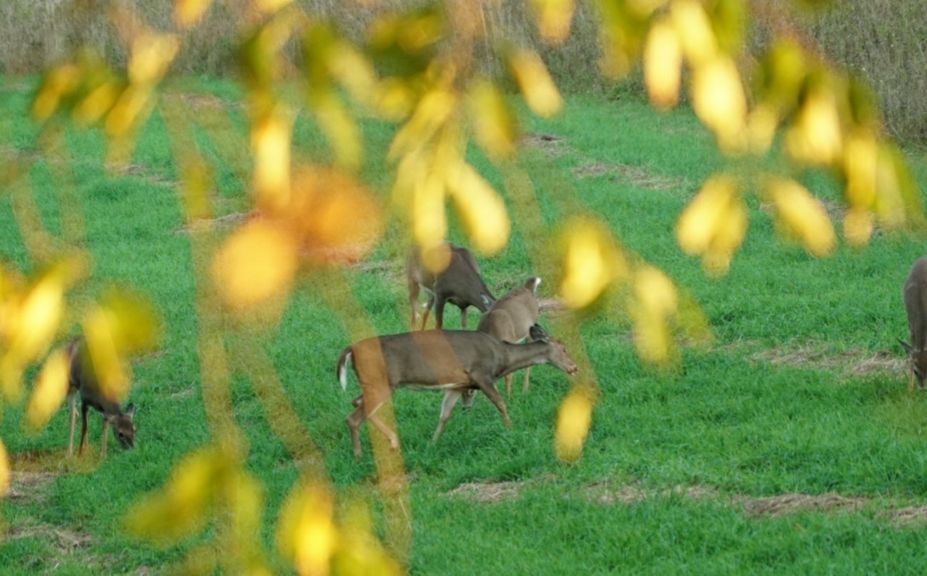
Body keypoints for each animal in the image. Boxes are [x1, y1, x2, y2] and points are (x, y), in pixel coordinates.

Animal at [334, 328, 580, 460]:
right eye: (564, 348)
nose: (574, 367)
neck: (502, 357)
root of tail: (350, 350)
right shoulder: (481, 373)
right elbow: (501, 403)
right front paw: (511, 430)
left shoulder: (456, 385)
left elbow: (444, 415)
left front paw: (432, 444)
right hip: (381, 383)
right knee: (353, 417)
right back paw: (362, 453)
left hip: (374, 385)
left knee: (355, 403)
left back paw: (389, 442)